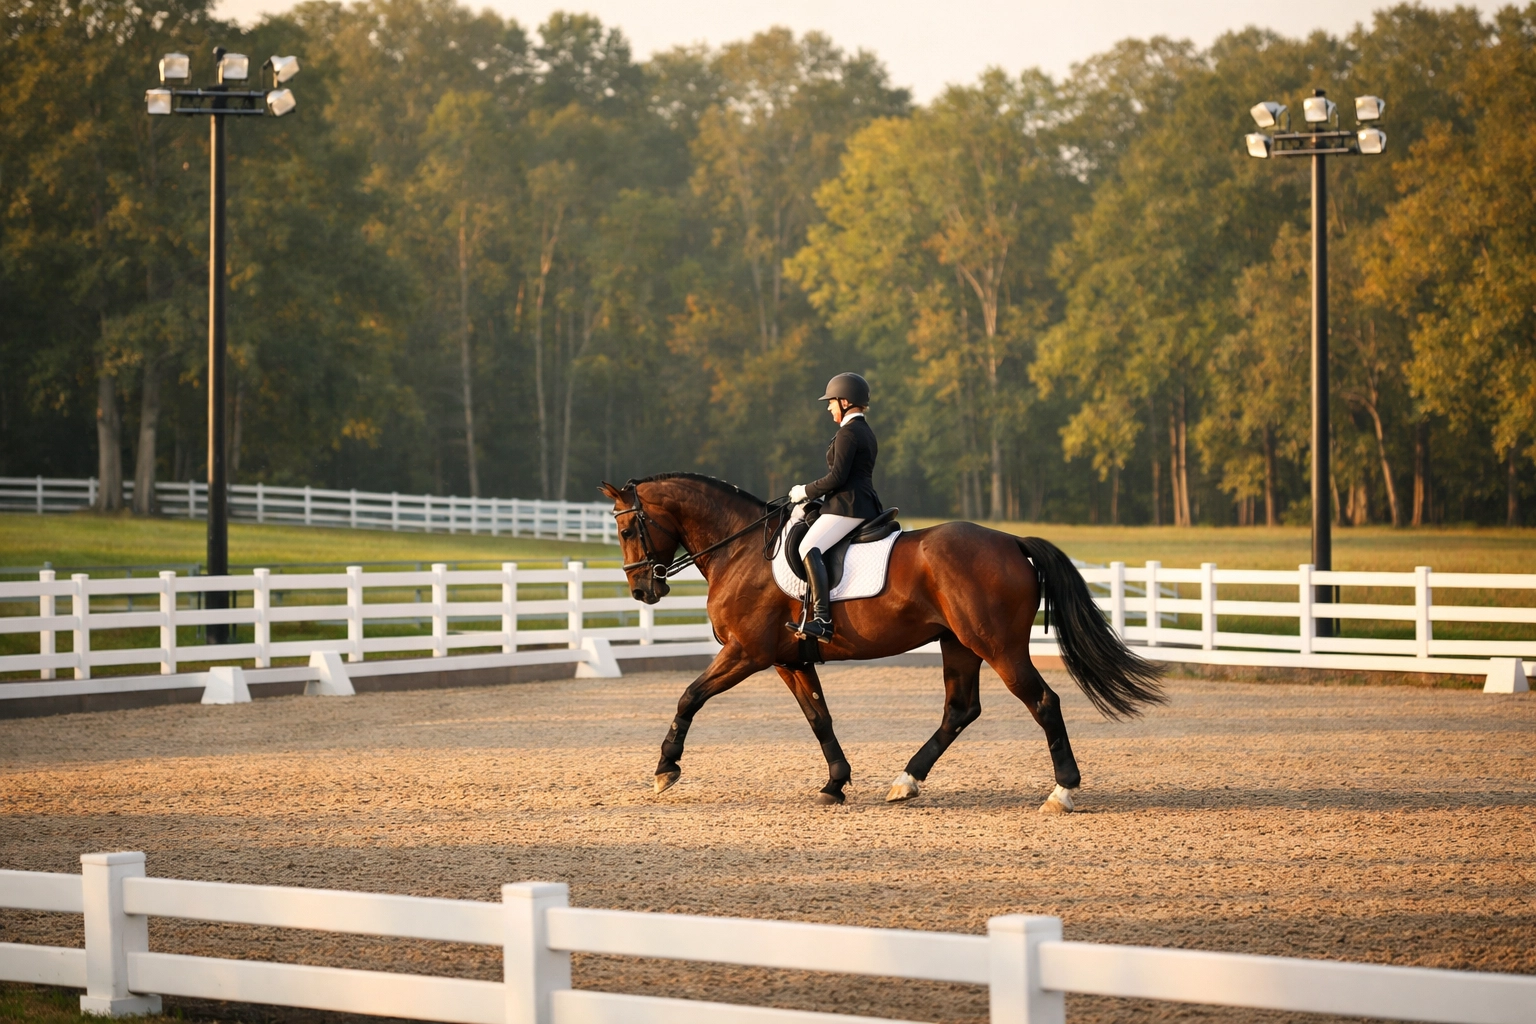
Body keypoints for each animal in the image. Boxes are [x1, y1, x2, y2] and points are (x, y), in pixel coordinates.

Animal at [600, 474, 1164, 813]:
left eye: (628, 529)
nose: (642, 590)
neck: (740, 549)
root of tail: (1011, 541)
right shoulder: (788, 659)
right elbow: (819, 718)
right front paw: (835, 783)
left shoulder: (746, 652)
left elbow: (689, 696)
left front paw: (665, 769)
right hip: (959, 644)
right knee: (960, 709)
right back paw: (905, 781)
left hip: (998, 646)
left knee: (1043, 701)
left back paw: (1062, 791)